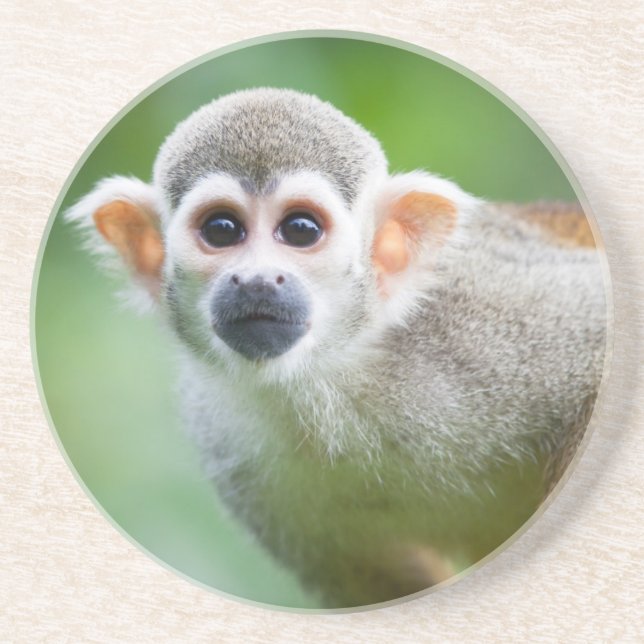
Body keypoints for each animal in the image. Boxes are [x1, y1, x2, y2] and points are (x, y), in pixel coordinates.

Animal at [66, 88, 607, 608]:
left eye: (300, 229)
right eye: (222, 230)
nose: (257, 280)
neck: (329, 377)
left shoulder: (482, 318)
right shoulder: (225, 440)